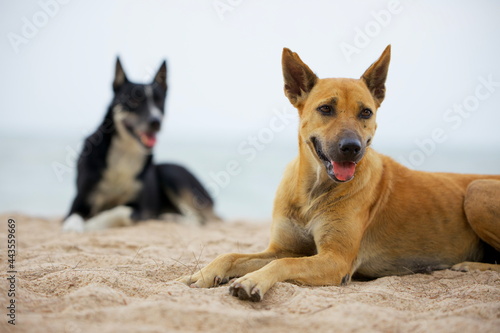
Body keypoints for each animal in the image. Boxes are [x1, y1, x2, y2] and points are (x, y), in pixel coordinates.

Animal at [62, 57, 219, 231]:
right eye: (133, 99)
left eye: (159, 101)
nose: (156, 121)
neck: (125, 152)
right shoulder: (80, 201)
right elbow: (73, 216)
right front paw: (72, 227)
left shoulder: (142, 208)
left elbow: (119, 210)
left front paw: (92, 224)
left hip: (170, 172)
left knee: (199, 219)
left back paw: (171, 218)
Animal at [178, 45, 498, 302]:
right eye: (326, 109)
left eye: (366, 112)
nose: (351, 148)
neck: (313, 189)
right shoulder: (284, 247)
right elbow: (233, 254)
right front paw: (205, 273)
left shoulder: (335, 260)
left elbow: (284, 265)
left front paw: (252, 281)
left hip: (476, 191)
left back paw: (470, 266)